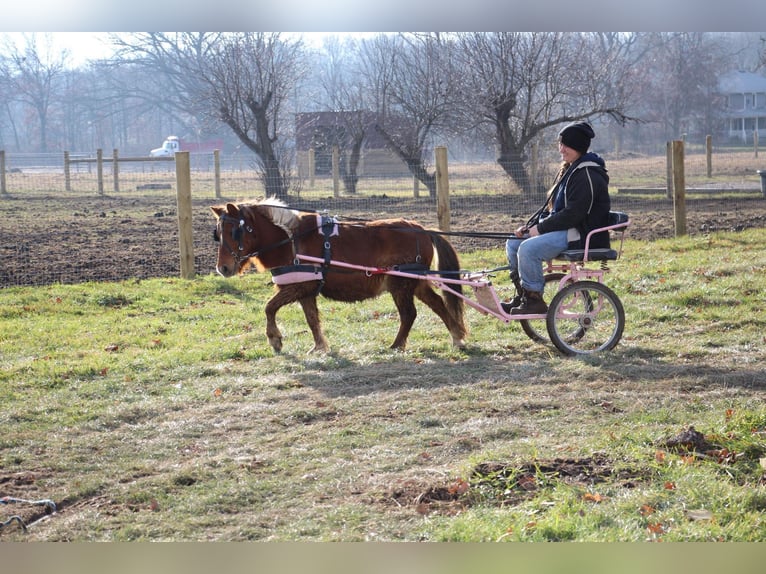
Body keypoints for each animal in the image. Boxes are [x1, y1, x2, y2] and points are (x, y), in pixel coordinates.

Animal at [213, 199, 472, 356]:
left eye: (235, 231)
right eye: (217, 233)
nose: (222, 268)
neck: (291, 240)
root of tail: (421, 229)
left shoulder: (301, 286)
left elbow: (269, 307)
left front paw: (275, 339)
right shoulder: (305, 291)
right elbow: (311, 319)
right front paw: (319, 347)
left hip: (400, 284)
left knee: (409, 314)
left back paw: (397, 345)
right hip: (416, 283)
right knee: (438, 304)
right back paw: (457, 338)